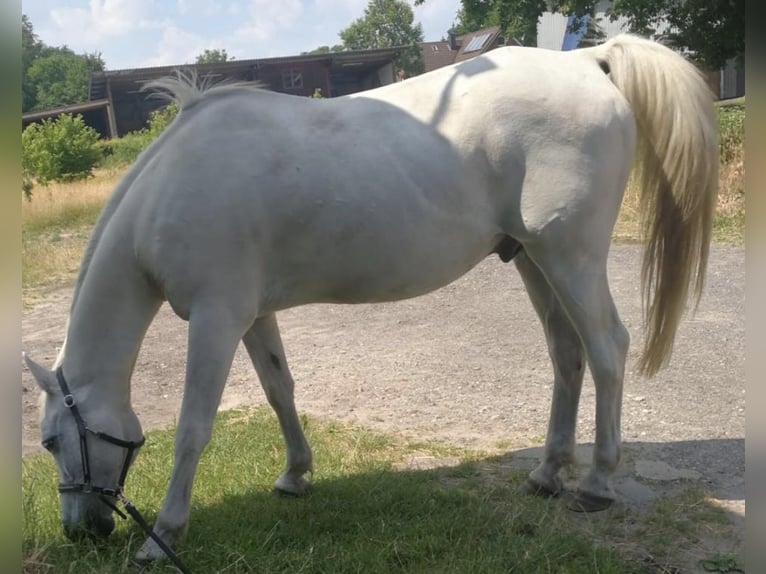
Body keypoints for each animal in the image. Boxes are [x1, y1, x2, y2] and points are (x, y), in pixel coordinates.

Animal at [24, 35, 720, 564]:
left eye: (51, 442)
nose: (81, 532)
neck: (171, 188)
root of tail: (589, 61)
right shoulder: (252, 314)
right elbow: (280, 390)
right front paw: (295, 475)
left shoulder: (216, 319)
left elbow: (194, 428)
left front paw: (163, 536)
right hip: (530, 258)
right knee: (565, 353)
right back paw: (547, 473)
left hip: (570, 256)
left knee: (606, 347)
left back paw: (598, 482)